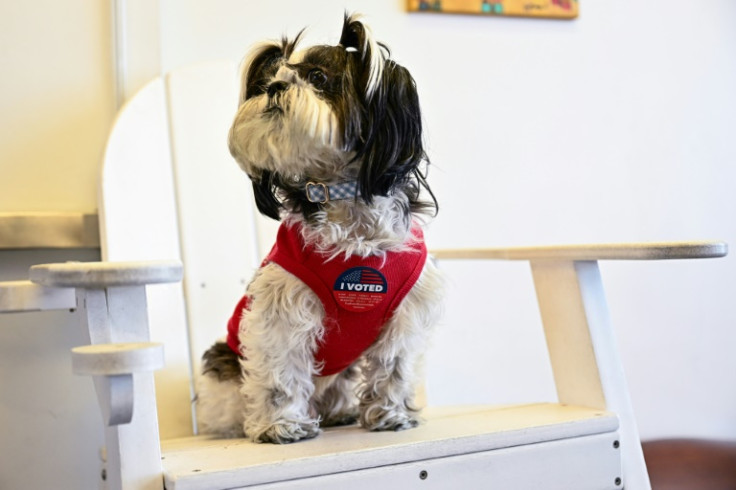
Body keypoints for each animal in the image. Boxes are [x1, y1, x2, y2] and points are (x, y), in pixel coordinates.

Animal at [193, 12, 442, 444]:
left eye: (318, 76)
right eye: (267, 80)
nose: (274, 87)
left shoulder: (405, 312)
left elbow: (393, 365)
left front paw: (390, 414)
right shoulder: (280, 309)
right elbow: (280, 371)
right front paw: (280, 425)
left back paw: (340, 412)